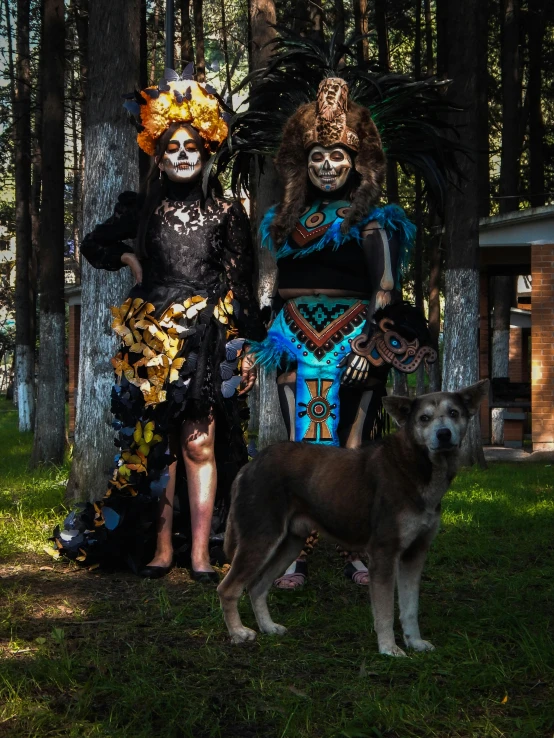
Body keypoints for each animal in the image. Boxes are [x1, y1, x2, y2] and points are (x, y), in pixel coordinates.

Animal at [218, 380, 486, 656]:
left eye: (454, 413)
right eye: (424, 418)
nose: (443, 434)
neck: (415, 465)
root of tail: (249, 465)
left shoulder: (415, 554)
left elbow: (410, 608)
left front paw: (415, 642)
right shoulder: (384, 554)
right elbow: (385, 612)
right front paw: (389, 648)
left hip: (288, 545)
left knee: (257, 587)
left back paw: (268, 627)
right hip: (261, 540)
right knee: (228, 589)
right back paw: (238, 632)